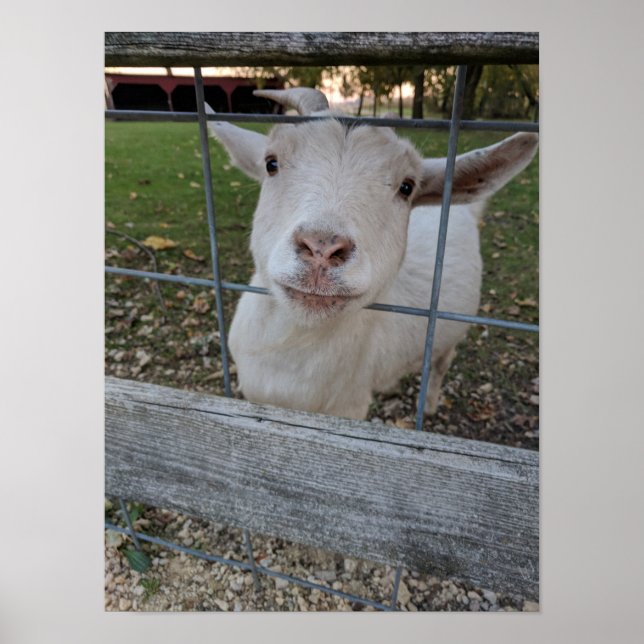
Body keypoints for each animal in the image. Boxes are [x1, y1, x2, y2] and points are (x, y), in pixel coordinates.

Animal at [207, 88, 538, 421]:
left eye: (407, 187)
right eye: (271, 163)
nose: (322, 248)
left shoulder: (350, 407)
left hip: (452, 332)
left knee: (440, 364)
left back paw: (431, 404)